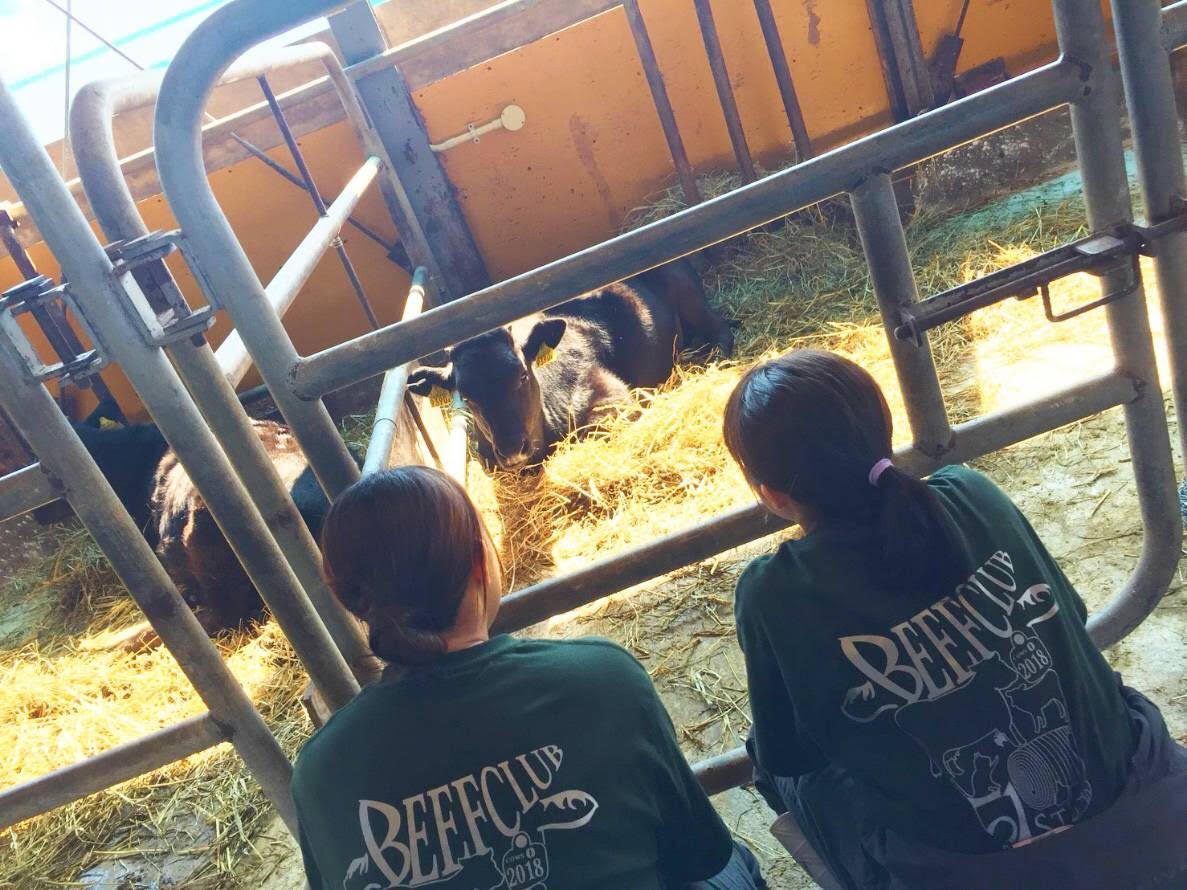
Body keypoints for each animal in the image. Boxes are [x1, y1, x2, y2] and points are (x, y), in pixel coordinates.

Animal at [406, 259, 733, 471]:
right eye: (466, 396)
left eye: (522, 376)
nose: (512, 450)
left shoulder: (611, 397)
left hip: (693, 301)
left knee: (722, 328)